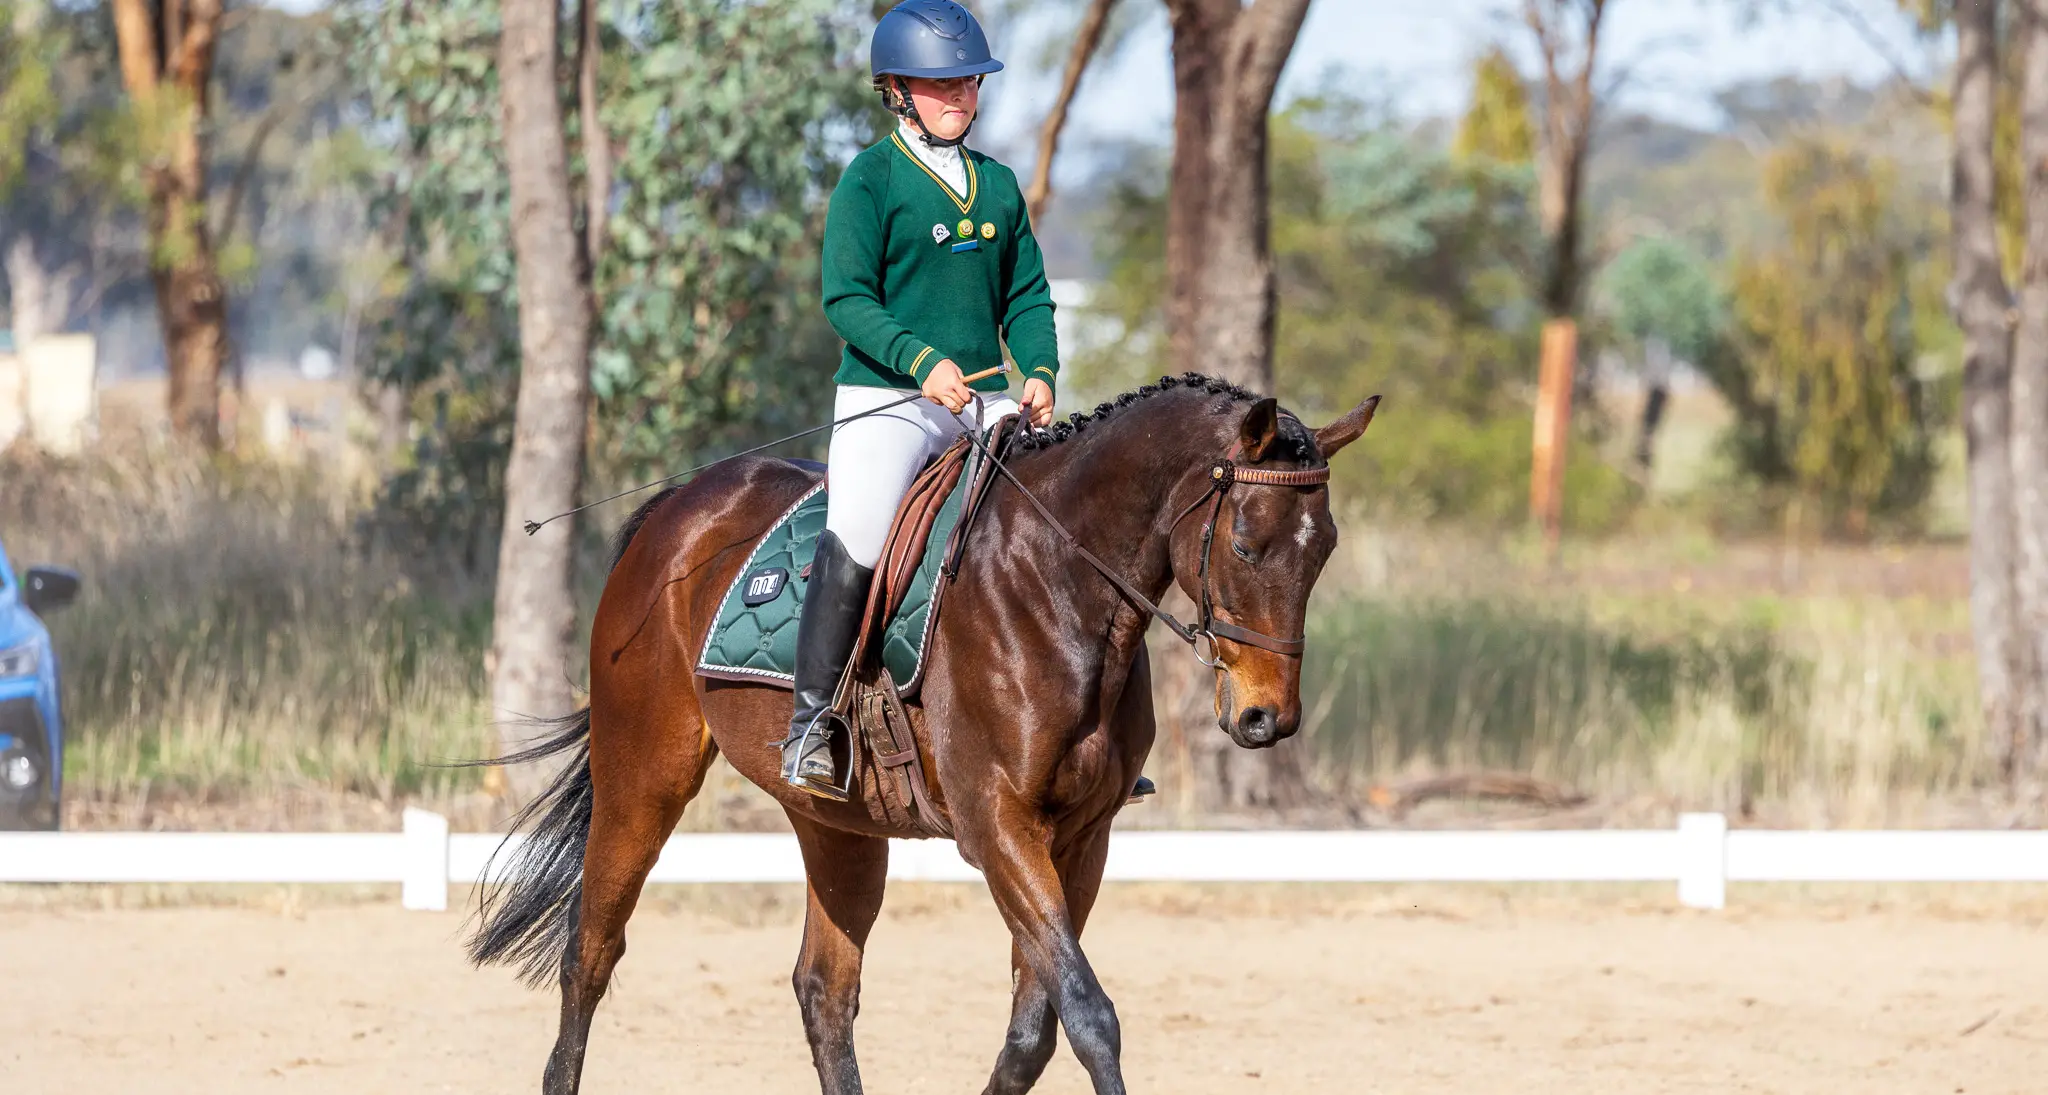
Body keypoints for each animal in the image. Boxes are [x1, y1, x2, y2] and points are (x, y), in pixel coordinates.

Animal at [468, 372, 1381, 1095]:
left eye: (1325, 547)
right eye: (1246, 541)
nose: (1267, 718)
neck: (1060, 583)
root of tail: (682, 506)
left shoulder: (1082, 837)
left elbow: (1033, 1029)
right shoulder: (998, 823)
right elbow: (1089, 1014)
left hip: (837, 822)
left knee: (824, 989)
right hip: (643, 778)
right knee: (591, 951)